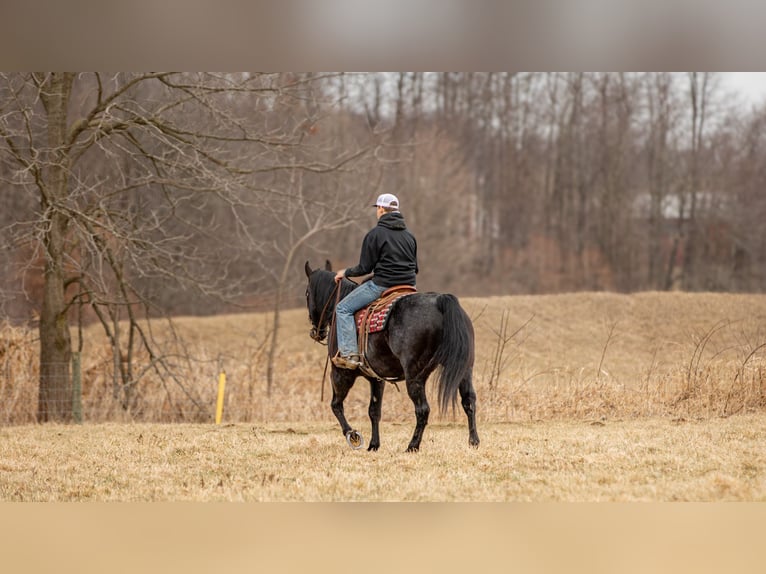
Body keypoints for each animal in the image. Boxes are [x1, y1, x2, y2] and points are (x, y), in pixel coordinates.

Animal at [304, 260, 480, 454]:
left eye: (307, 293)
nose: (316, 332)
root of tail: (441, 301)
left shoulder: (341, 373)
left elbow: (336, 405)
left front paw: (354, 436)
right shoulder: (376, 378)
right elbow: (374, 411)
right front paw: (374, 444)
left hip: (414, 376)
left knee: (423, 410)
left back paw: (412, 445)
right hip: (464, 370)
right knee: (469, 401)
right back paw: (473, 441)